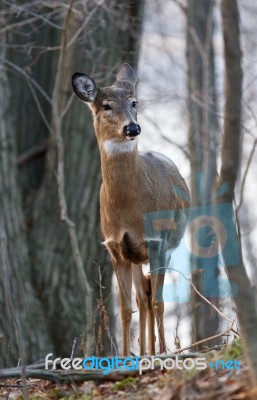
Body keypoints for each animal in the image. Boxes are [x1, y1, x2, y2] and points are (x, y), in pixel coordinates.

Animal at [71, 62, 189, 356]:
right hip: (136, 256)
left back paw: (154, 350)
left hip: (167, 245)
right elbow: (126, 309)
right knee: (141, 296)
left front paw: (163, 353)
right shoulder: (116, 248)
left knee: (151, 296)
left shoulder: (158, 241)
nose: (132, 127)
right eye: (106, 106)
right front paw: (124, 357)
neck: (130, 210)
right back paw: (144, 351)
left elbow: (159, 301)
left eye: (134, 102)